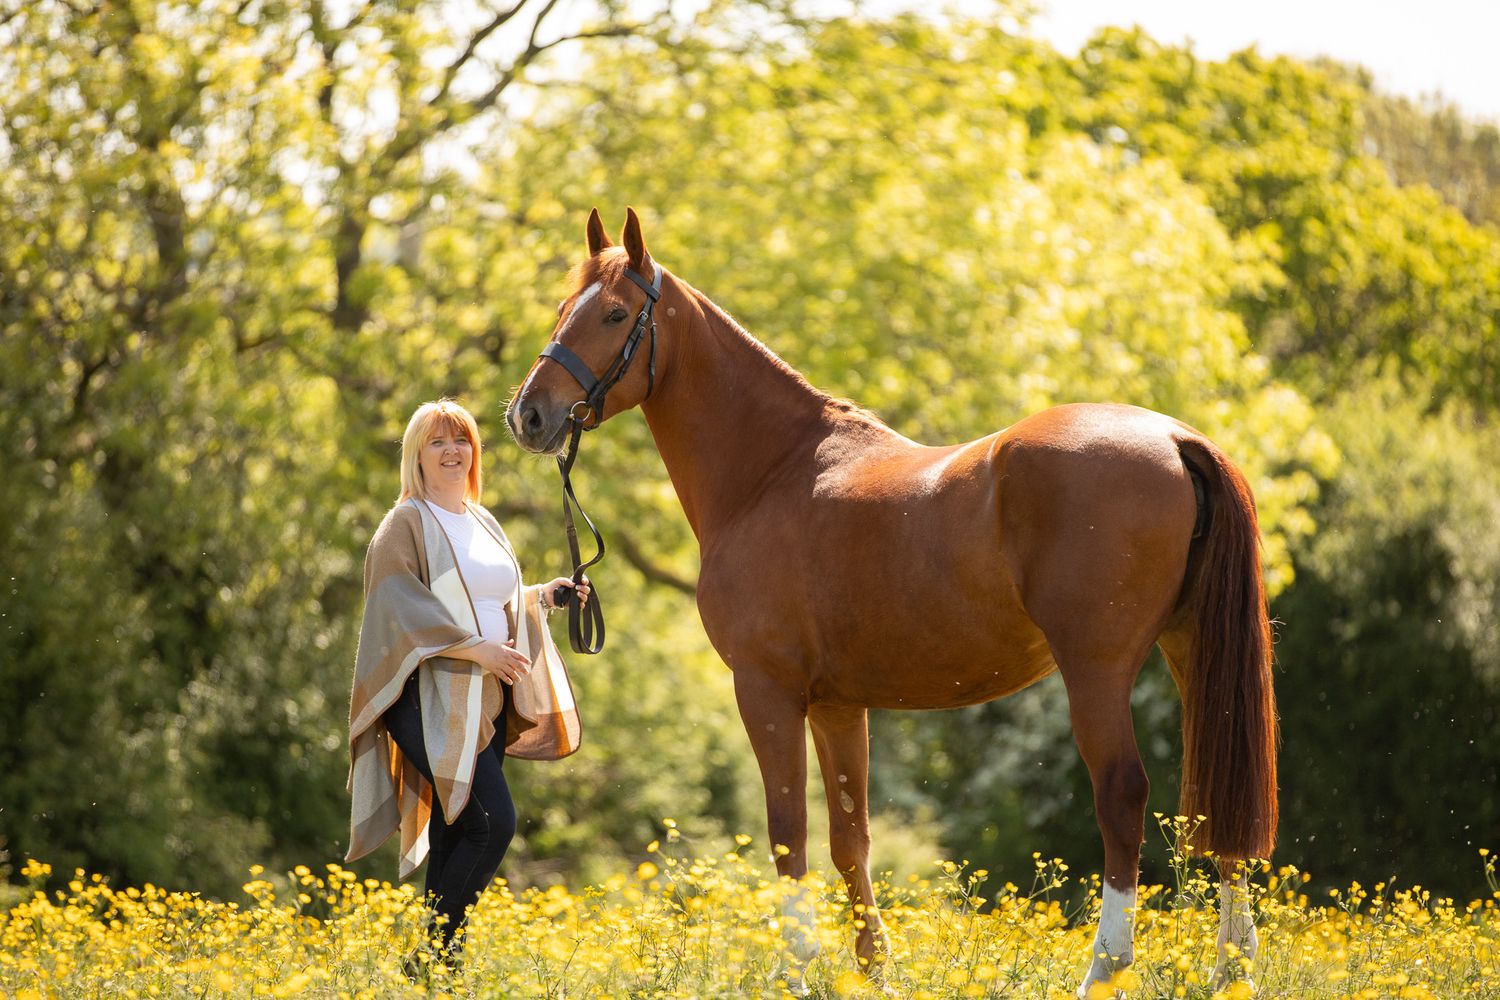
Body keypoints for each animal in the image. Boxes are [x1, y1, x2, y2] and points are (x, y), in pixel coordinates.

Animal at [506, 208, 1277, 996]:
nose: (528, 415)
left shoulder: (766, 690)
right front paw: (874, 970)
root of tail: (1174, 438)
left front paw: (799, 970)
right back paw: (1232, 968)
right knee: (1217, 796)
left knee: (1122, 795)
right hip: (1191, 653)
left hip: (1097, 668)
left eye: (615, 313)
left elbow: (787, 830)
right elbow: (851, 837)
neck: (772, 471)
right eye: (564, 308)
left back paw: (1105, 967)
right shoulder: (839, 705)